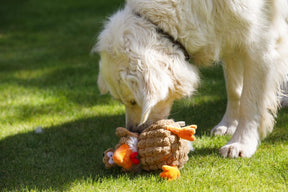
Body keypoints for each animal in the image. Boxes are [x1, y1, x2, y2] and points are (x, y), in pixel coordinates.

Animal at [93, 0, 288, 158]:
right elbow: (234, 90)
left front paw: (241, 143)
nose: (134, 131)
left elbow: (250, 102)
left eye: (133, 101)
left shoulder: (260, 44)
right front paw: (229, 125)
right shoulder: (230, 35)